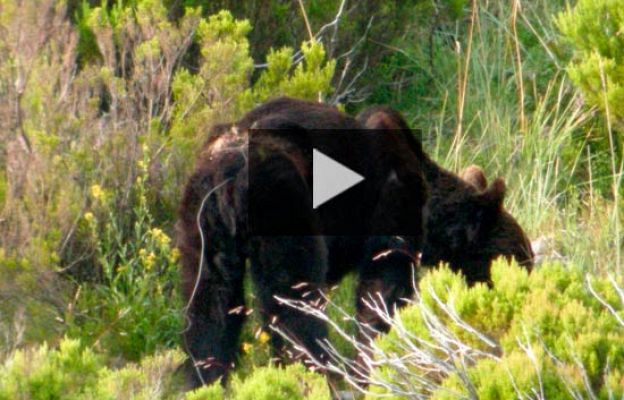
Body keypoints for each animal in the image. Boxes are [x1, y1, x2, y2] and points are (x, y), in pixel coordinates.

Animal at [176, 97, 428, 388]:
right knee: (295, 309)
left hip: (202, 222)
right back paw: (312, 373)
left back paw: (205, 380)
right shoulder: (393, 194)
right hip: (281, 204)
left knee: (210, 310)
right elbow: (384, 281)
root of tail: (229, 179)